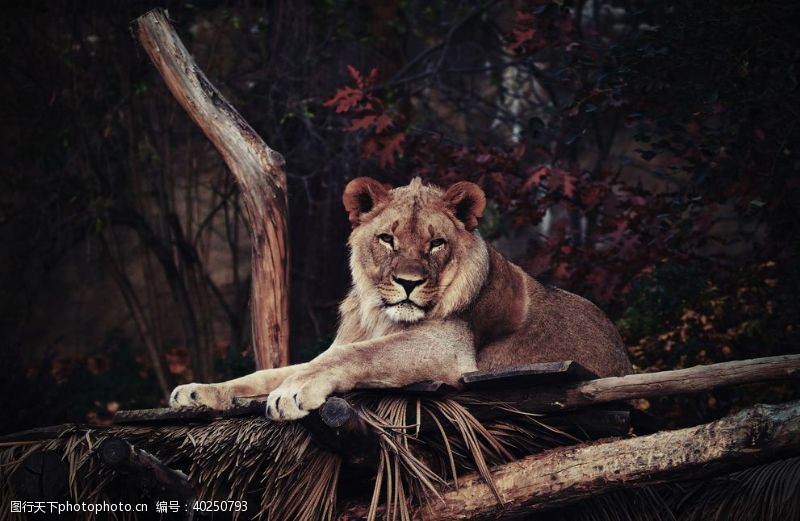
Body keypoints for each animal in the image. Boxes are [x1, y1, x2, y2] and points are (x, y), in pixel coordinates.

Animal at [172, 177, 636, 420]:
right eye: (387, 239)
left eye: (436, 244)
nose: (409, 283)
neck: (381, 317)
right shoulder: (338, 344)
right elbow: (271, 371)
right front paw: (199, 391)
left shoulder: (447, 348)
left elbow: (358, 356)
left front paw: (295, 390)